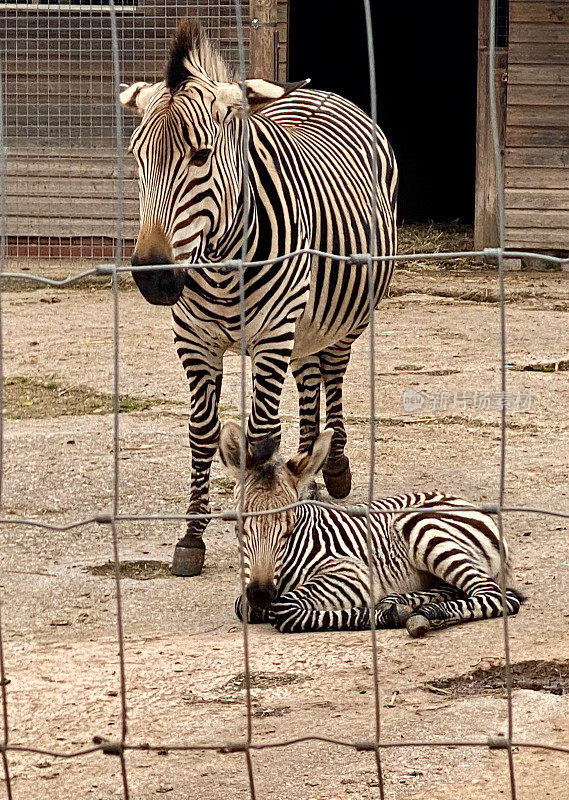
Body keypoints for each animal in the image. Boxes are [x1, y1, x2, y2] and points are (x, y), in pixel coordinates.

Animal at [120, 18, 394, 576]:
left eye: (201, 156)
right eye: (137, 158)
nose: (154, 278)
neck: (224, 263)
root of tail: (319, 92)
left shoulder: (271, 334)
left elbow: (261, 434)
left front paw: (268, 507)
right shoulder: (194, 340)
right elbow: (202, 432)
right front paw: (192, 536)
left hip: (336, 318)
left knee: (332, 376)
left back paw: (331, 470)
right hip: (304, 325)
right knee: (309, 383)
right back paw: (306, 471)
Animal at [219, 422, 524, 636]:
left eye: (289, 530)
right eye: (239, 528)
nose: (261, 594)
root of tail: (460, 500)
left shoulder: (352, 573)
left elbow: (283, 609)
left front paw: (384, 615)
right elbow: (243, 606)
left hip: (424, 529)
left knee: (496, 596)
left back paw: (428, 611)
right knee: (460, 590)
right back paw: (403, 602)